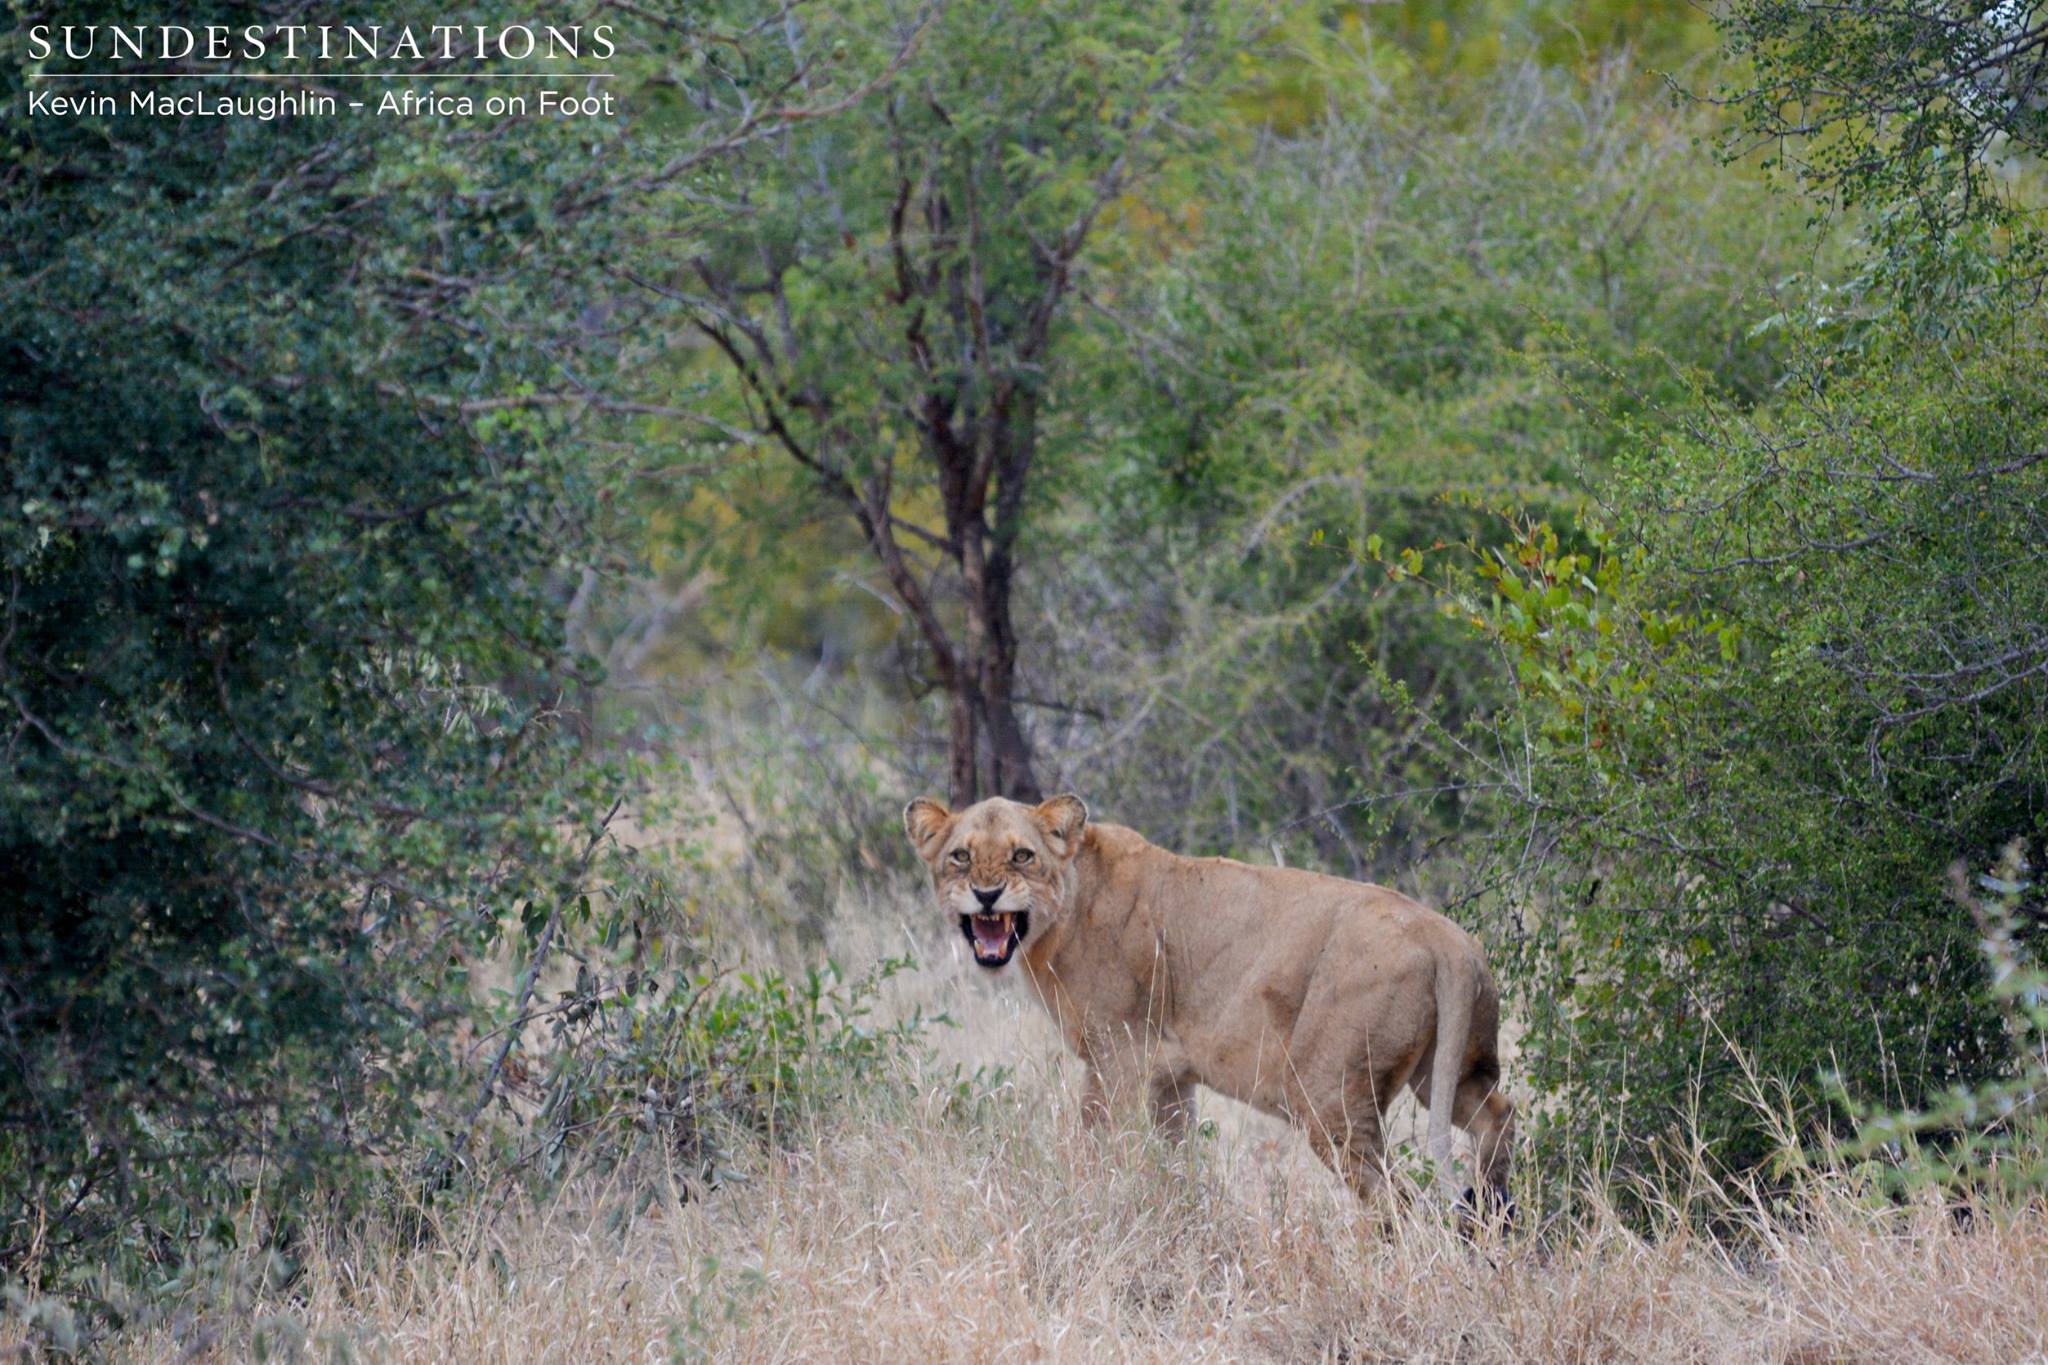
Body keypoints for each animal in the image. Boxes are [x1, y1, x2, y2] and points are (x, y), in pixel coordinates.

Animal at [904, 792, 1514, 1212]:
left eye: (1022, 855)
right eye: (960, 856)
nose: (986, 895)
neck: (1058, 921)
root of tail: (1444, 937)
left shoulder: (1117, 1056)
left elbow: (1099, 1145)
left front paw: (1094, 1206)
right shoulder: (1170, 1076)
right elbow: (1177, 1157)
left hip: (1328, 1094)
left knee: (1396, 1199)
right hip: (1450, 1070)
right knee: (1497, 1117)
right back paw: (1492, 1215)